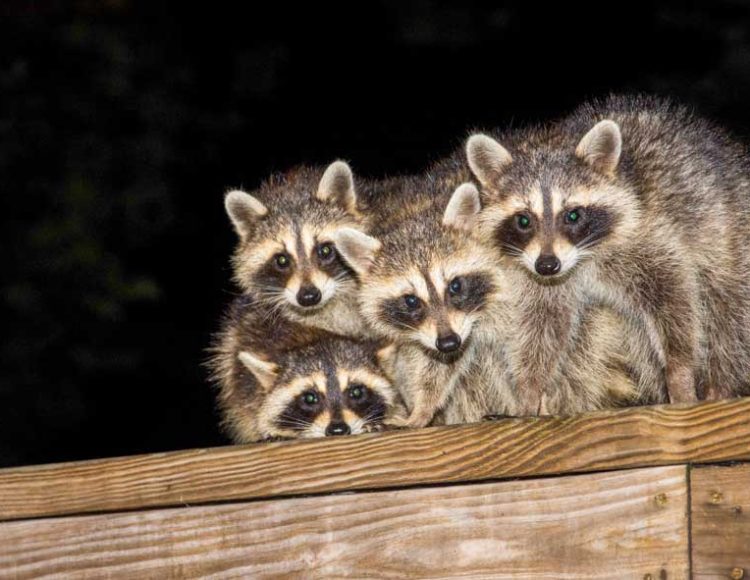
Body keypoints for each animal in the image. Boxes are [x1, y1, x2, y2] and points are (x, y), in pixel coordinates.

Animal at [464, 94, 750, 407]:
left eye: (573, 215)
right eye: (524, 220)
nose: (547, 265)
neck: (582, 258)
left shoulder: (648, 233)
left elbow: (673, 296)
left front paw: (679, 369)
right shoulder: (542, 274)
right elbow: (545, 324)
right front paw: (531, 386)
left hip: (729, 234)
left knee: (727, 310)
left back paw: (721, 382)